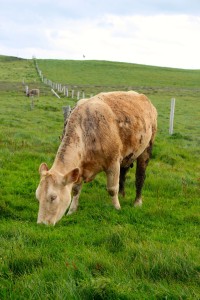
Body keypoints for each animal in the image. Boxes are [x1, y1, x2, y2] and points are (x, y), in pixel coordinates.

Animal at [36, 91, 158, 225]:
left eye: (53, 197)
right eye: (37, 196)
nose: (41, 224)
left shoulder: (113, 162)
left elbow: (112, 189)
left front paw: (117, 207)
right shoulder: (80, 168)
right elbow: (76, 190)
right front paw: (72, 210)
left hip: (146, 149)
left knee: (140, 177)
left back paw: (137, 202)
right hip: (127, 156)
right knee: (124, 174)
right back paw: (122, 194)